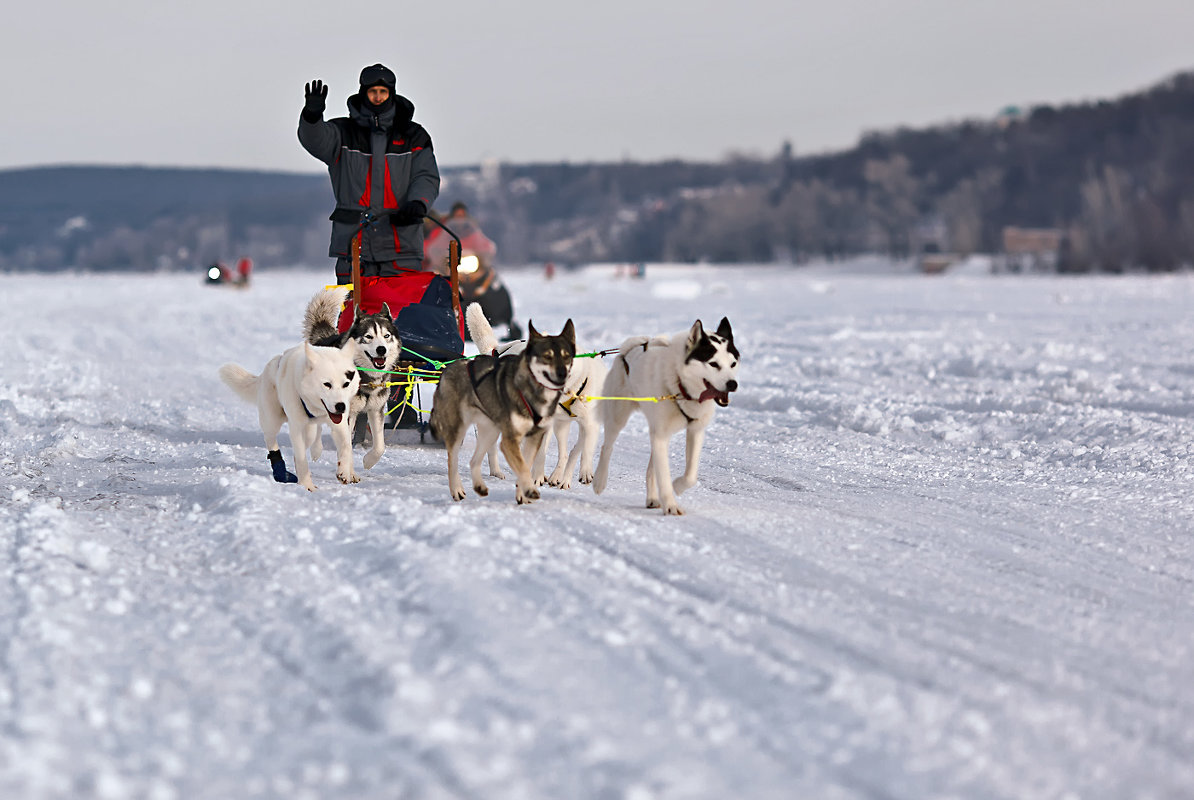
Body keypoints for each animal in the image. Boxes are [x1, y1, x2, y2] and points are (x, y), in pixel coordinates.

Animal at [429, 322, 577, 503]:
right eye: (546, 356)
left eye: (566, 356)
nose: (562, 375)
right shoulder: (512, 435)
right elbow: (523, 463)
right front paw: (530, 486)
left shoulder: (538, 433)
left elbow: (531, 459)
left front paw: (529, 485)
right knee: (465, 456)